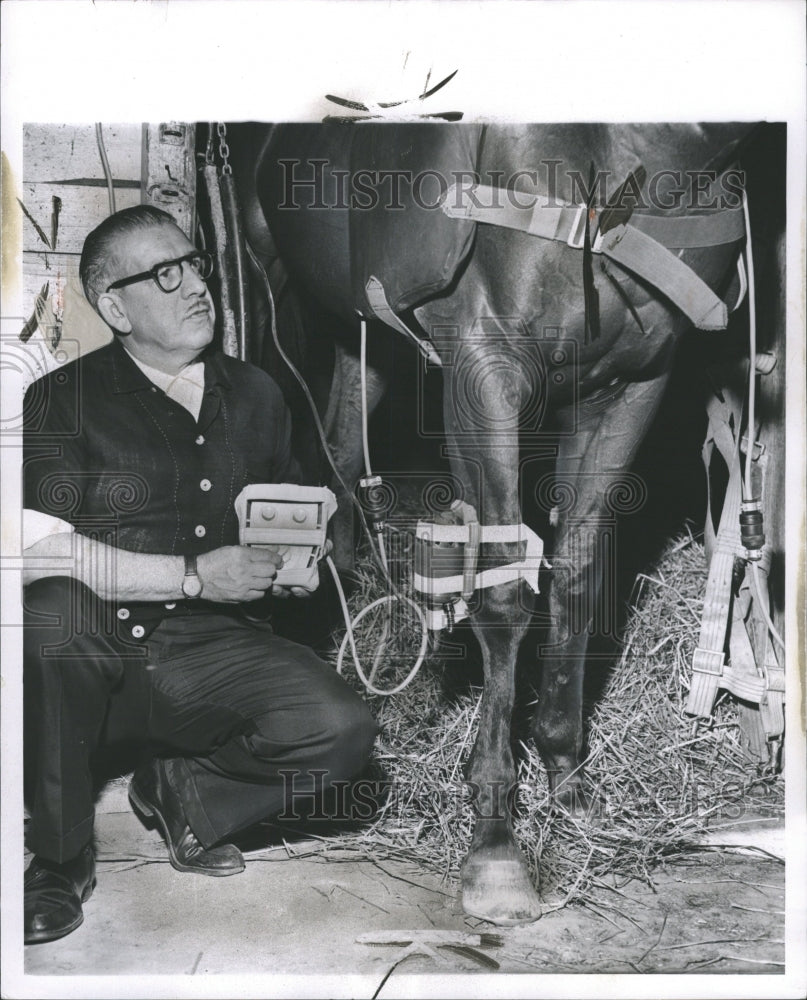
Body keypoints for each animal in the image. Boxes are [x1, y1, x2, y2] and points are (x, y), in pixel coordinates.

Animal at [221, 121, 784, 924]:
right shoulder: (484, 372)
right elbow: (503, 592)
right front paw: (493, 838)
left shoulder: (631, 384)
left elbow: (577, 576)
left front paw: (566, 771)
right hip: (269, 286)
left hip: (363, 330)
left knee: (341, 444)